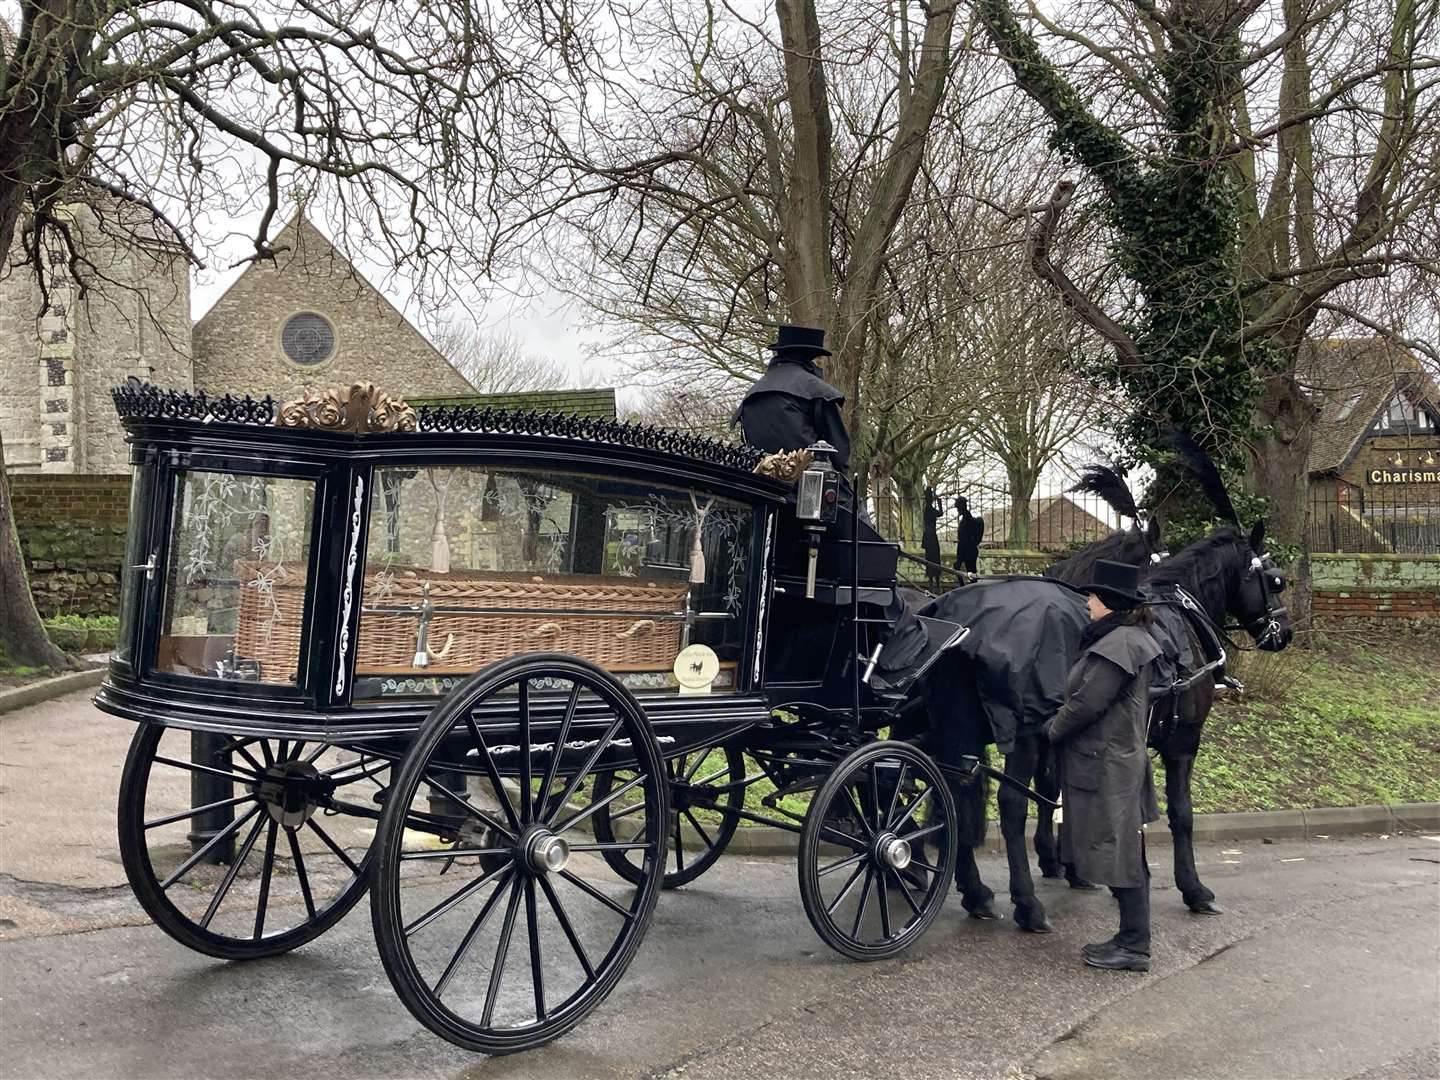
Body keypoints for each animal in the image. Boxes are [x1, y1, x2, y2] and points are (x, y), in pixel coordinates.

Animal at [921, 521, 1296, 933]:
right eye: (1276, 580)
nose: (1284, 633)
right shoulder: (1183, 742)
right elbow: (1181, 814)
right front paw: (1192, 888)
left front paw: (1084, 868)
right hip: (1023, 735)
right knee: (1010, 806)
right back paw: (1028, 905)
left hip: (962, 731)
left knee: (956, 798)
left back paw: (976, 893)